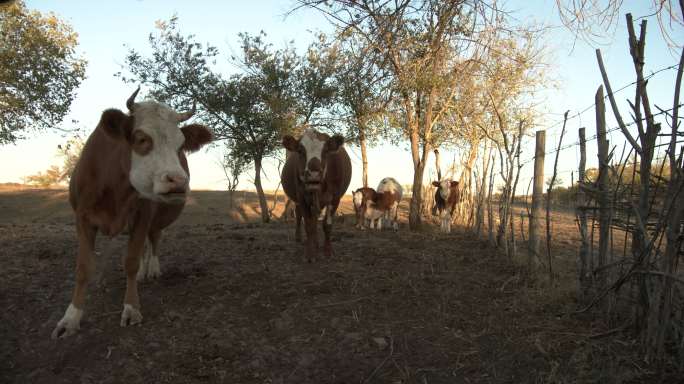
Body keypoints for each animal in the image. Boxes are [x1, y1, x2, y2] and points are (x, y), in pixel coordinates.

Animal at [51, 88, 211, 340]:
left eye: (181, 145)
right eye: (141, 139)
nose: (178, 181)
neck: (114, 186)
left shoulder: (142, 216)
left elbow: (131, 262)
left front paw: (131, 308)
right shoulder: (83, 219)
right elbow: (84, 268)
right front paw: (71, 318)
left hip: (156, 218)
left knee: (154, 239)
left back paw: (151, 269)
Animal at [280, 128, 352, 260]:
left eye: (326, 150)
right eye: (300, 151)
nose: (314, 175)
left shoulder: (334, 198)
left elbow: (326, 225)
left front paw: (328, 252)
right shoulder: (302, 197)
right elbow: (308, 225)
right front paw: (309, 253)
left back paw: (317, 243)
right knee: (300, 216)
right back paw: (301, 238)